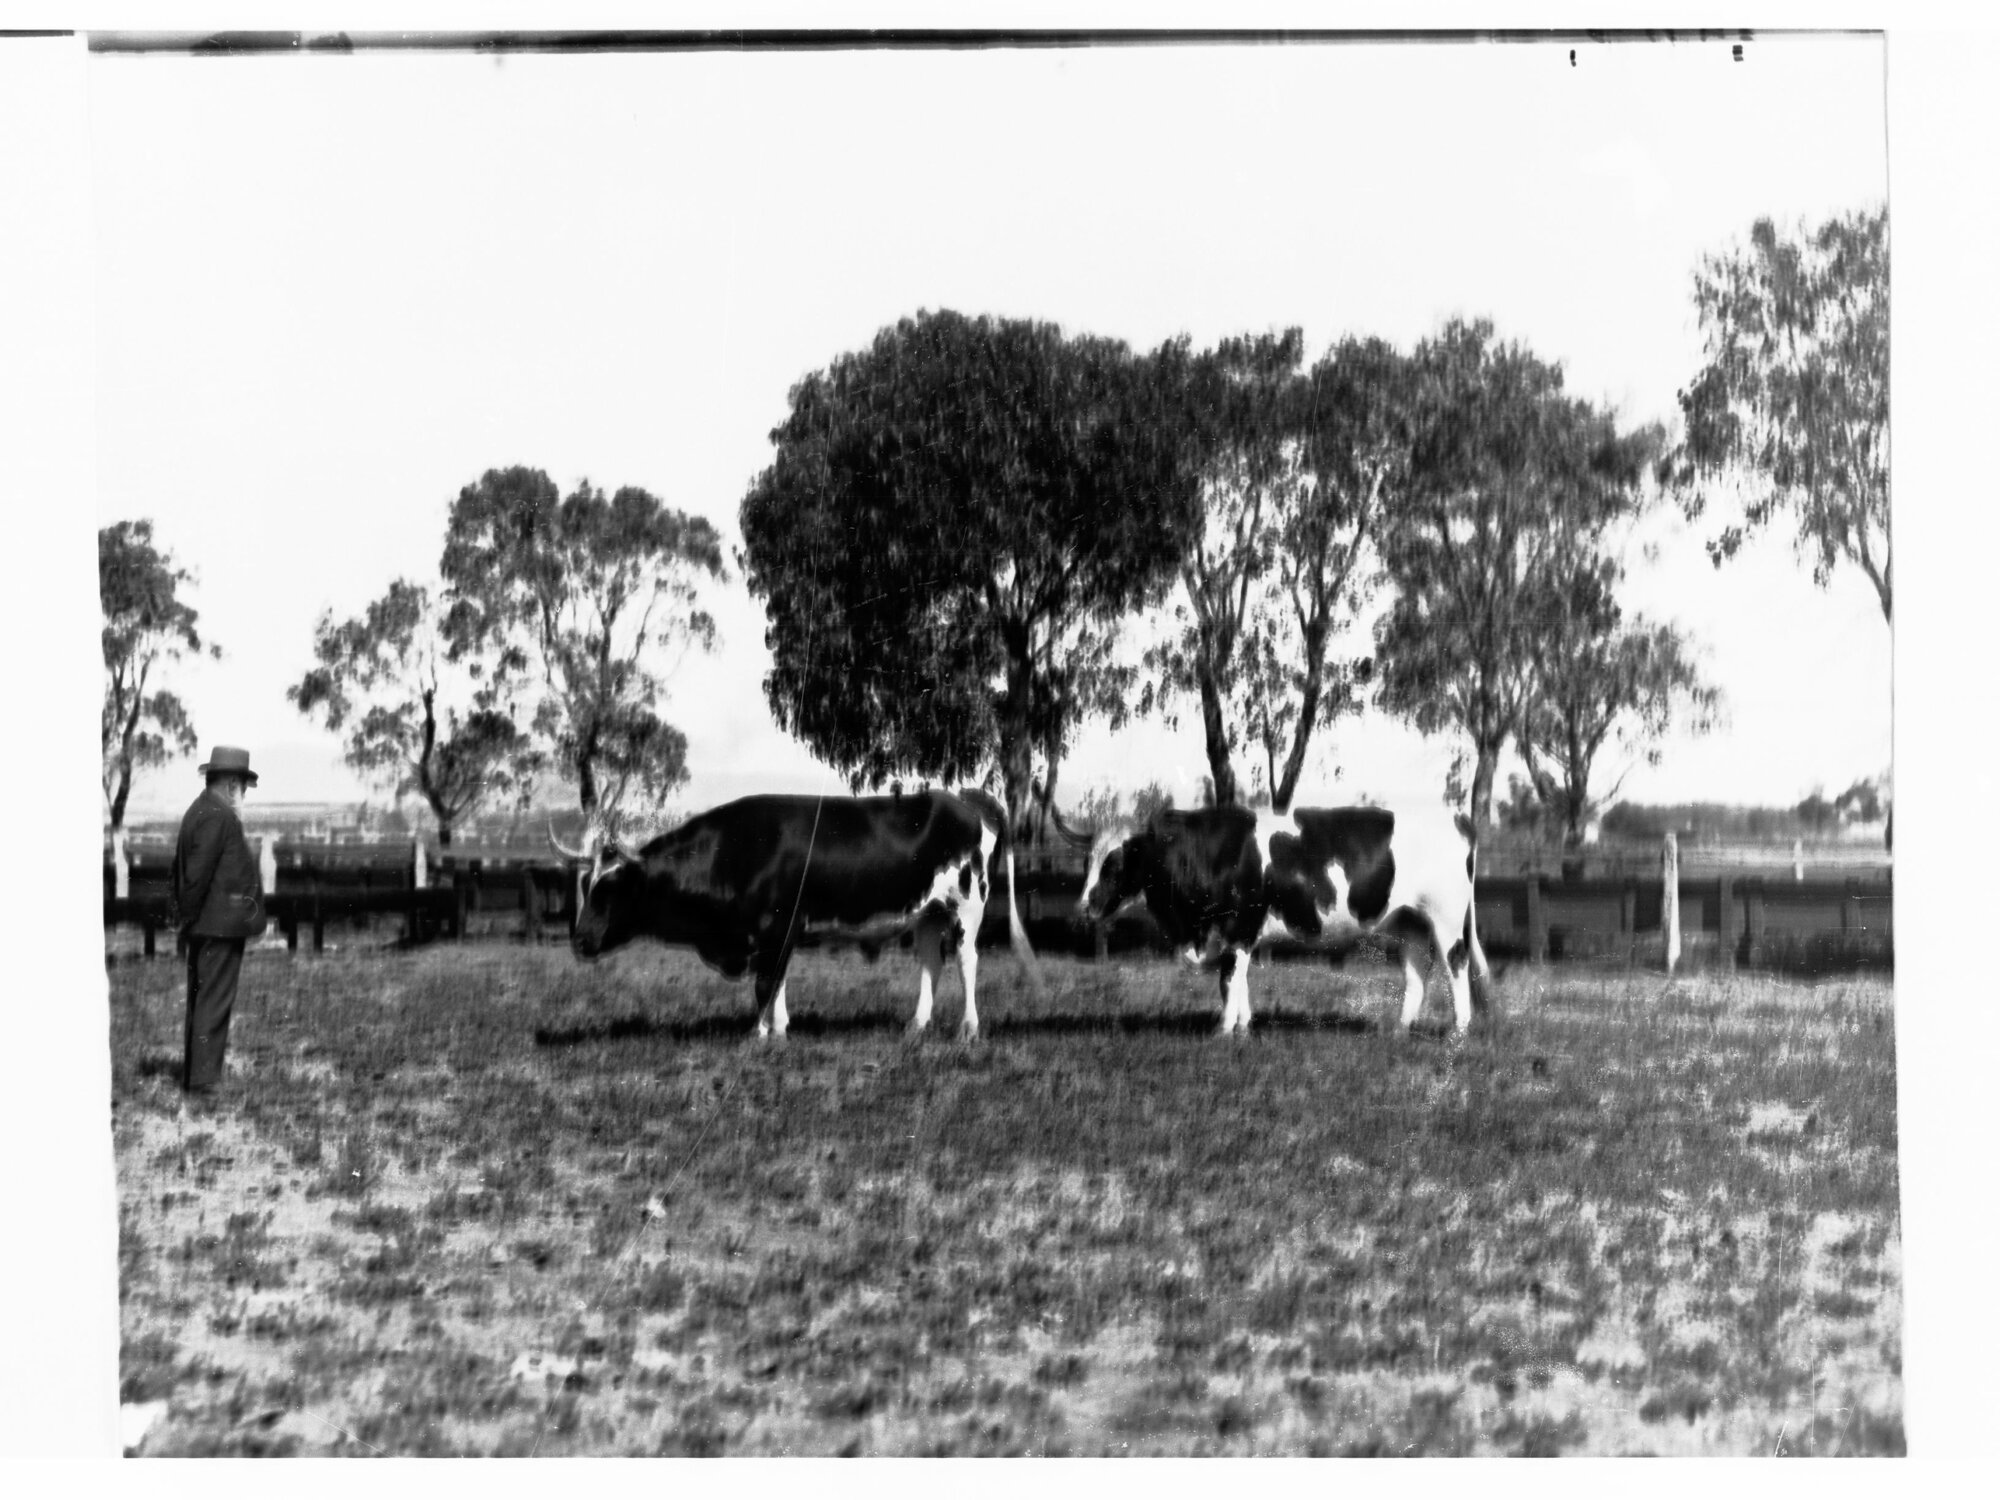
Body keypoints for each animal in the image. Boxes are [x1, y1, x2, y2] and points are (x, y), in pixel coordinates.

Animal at [558, 789, 1038, 1040]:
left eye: (611, 890)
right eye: (585, 886)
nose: (579, 940)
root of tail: (966, 798)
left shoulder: (777, 924)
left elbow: (764, 983)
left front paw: (759, 1034)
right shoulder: (777, 932)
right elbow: (777, 979)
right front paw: (779, 1029)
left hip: (967, 903)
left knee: (967, 960)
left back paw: (968, 1028)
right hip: (928, 912)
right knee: (931, 963)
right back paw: (916, 1026)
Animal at [1058, 801, 1491, 1037]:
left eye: (1117, 864)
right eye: (1088, 861)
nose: (1082, 910)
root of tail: (1457, 818)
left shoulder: (1238, 925)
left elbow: (1228, 979)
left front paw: (1222, 1030)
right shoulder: (1240, 934)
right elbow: (1239, 980)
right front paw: (1242, 1027)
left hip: (1446, 917)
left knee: (1456, 964)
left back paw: (1458, 1031)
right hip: (1409, 921)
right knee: (1418, 971)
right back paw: (1399, 1030)